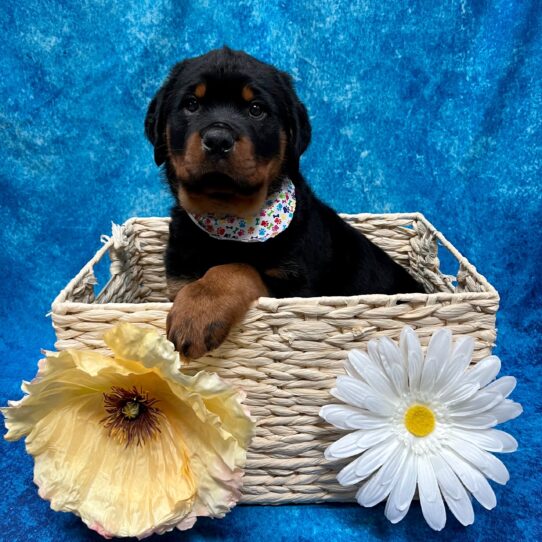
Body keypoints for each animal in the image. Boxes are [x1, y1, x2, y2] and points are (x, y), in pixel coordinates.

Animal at [146, 47, 424, 362]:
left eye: (256, 109)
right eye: (191, 104)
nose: (218, 140)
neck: (227, 220)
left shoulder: (299, 289)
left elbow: (238, 267)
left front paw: (198, 311)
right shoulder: (178, 280)